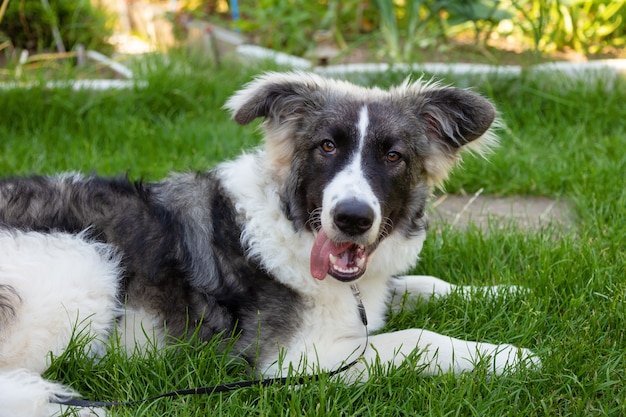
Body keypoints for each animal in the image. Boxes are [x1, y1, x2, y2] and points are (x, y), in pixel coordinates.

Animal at [0, 73, 536, 414]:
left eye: (393, 156)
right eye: (326, 147)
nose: (352, 218)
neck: (293, 227)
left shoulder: (368, 294)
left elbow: (425, 283)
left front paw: (508, 293)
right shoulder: (294, 359)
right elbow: (413, 338)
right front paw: (507, 357)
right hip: (85, 263)